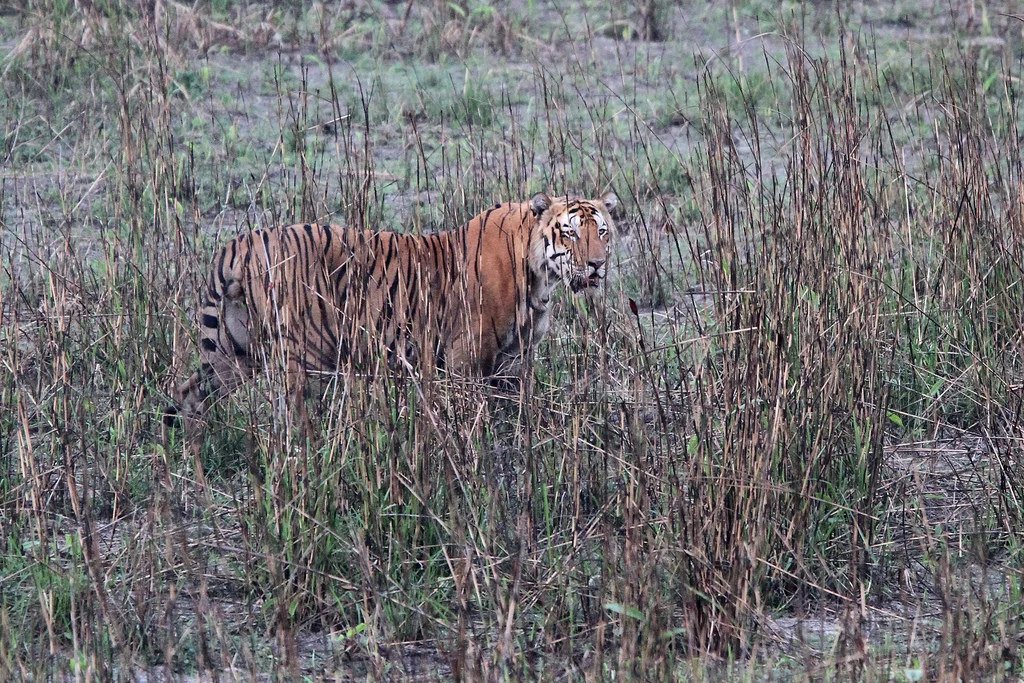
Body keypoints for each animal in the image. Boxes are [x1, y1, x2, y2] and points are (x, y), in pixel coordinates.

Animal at [165, 189, 614, 430]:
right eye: (571, 233)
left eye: (603, 232)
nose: (597, 264)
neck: (540, 276)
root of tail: (236, 245)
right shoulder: (468, 360)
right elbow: (474, 419)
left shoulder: (515, 360)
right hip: (302, 361)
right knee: (296, 421)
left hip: (234, 351)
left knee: (189, 395)